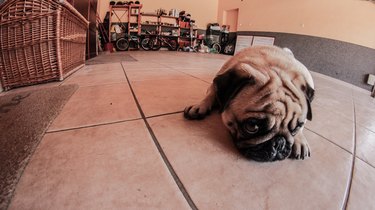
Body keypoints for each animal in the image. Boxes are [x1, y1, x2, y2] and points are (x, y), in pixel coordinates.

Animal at [184, 45, 316, 162]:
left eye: (296, 127)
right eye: (252, 126)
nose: (279, 143)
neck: (272, 66)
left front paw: (299, 139)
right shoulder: (215, 84)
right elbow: (210, 94)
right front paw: (200, 106)